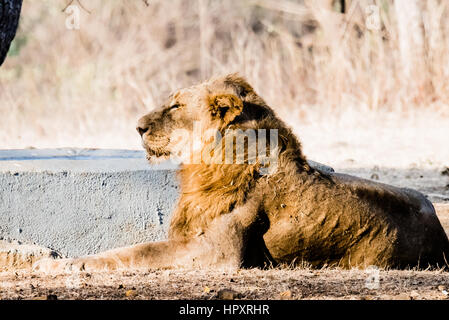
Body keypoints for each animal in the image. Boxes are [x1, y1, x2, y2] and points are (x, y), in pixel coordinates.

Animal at [33, 74, 448, 272]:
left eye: (177, 105)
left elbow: (135, 251)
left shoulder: (216, 252)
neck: (205, 161)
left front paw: (63, 264)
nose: (137, 127)